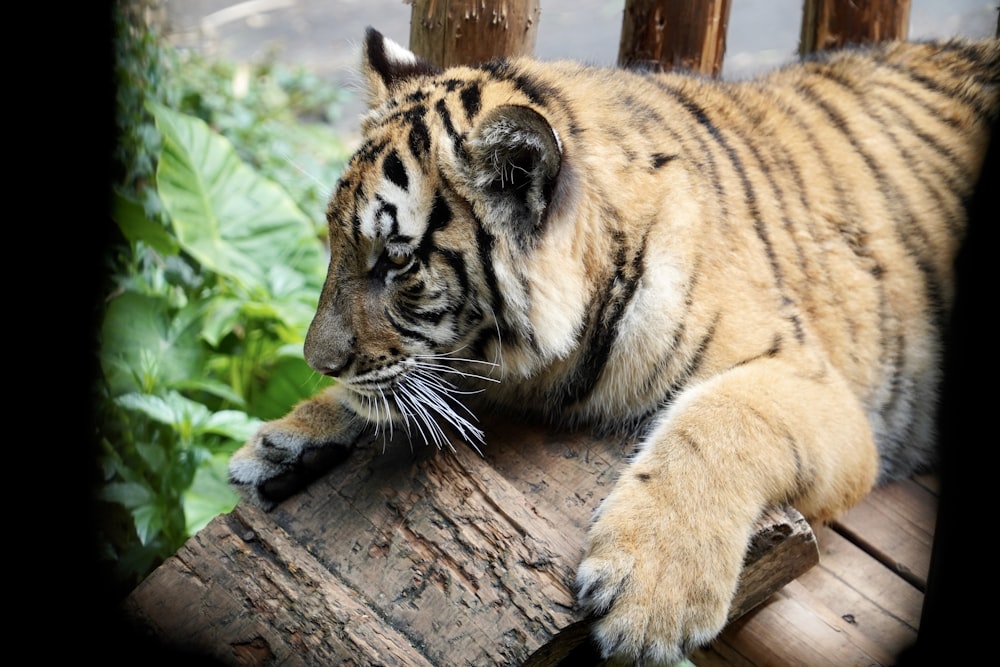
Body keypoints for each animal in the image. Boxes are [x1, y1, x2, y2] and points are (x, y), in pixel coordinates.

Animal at [229, 28, 1000, 664]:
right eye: (333, 240)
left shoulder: (818, 385)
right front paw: (290, 436)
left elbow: (722, 420)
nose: (317, 360)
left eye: (396, 260)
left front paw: (649, 596)